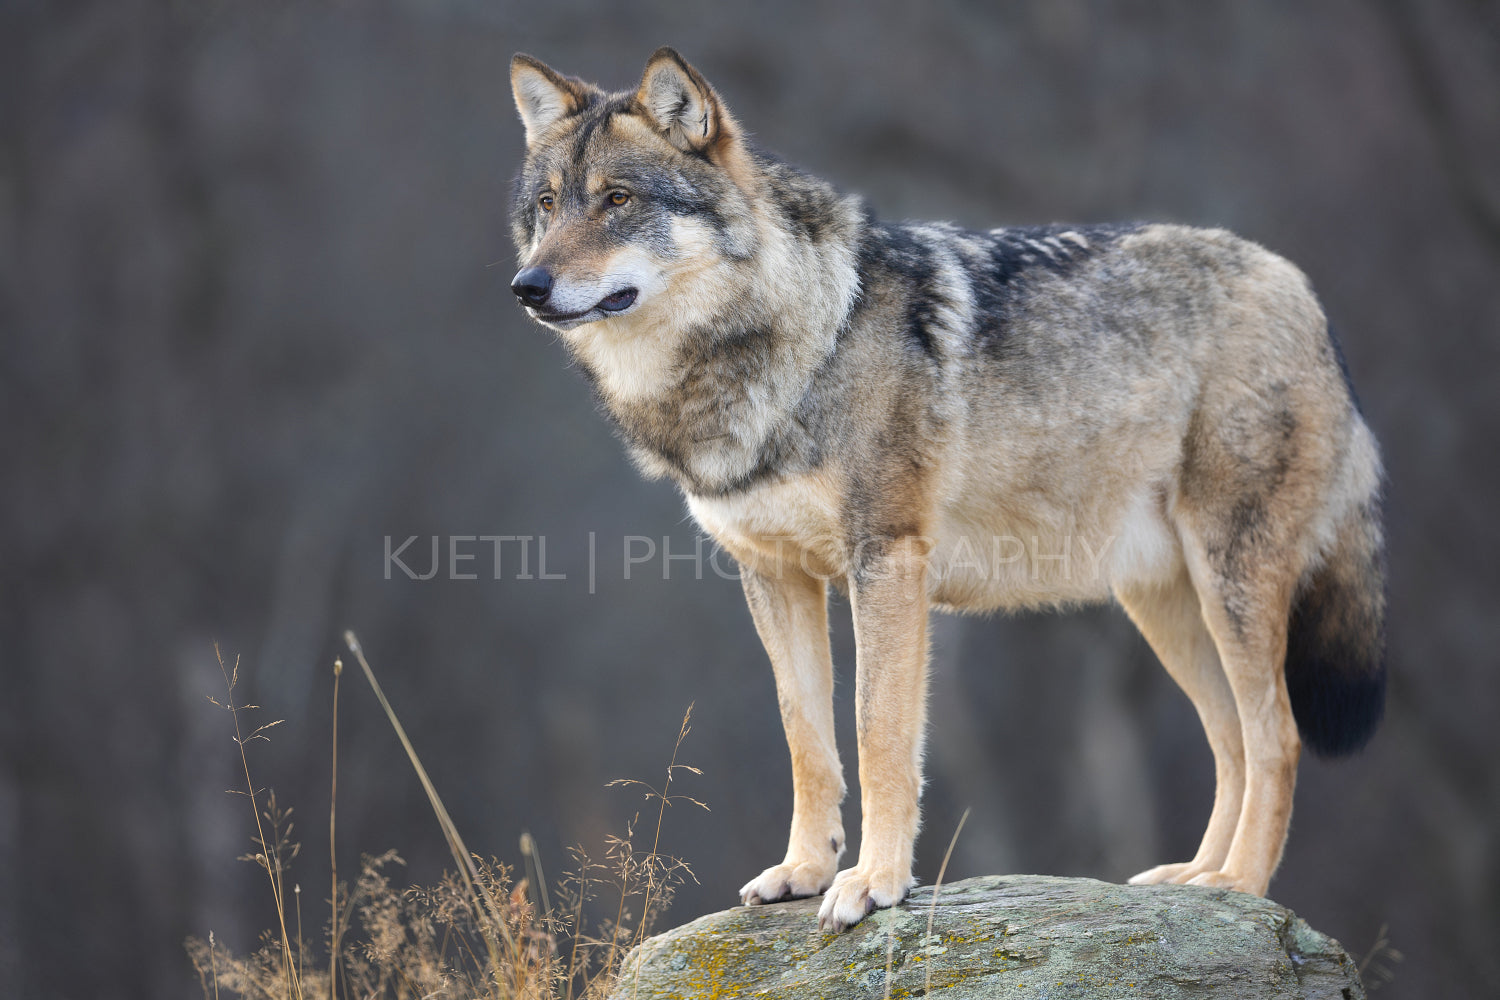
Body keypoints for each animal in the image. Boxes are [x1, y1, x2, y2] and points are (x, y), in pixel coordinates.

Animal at [501, 48, 1380, 929]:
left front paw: (874, 883)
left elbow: (878, 734)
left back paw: (1240, 886)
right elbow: (806, 738)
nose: (526, 286)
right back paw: (1196, 880)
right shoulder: (772, 574)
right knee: (1230, 740)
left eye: (617, 200)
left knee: (1277, 738)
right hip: (1163, 605)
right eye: (547, 204)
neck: (799, 339)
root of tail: (1300, 288)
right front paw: (802, 872)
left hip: (1229, 583)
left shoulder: (886, 561)